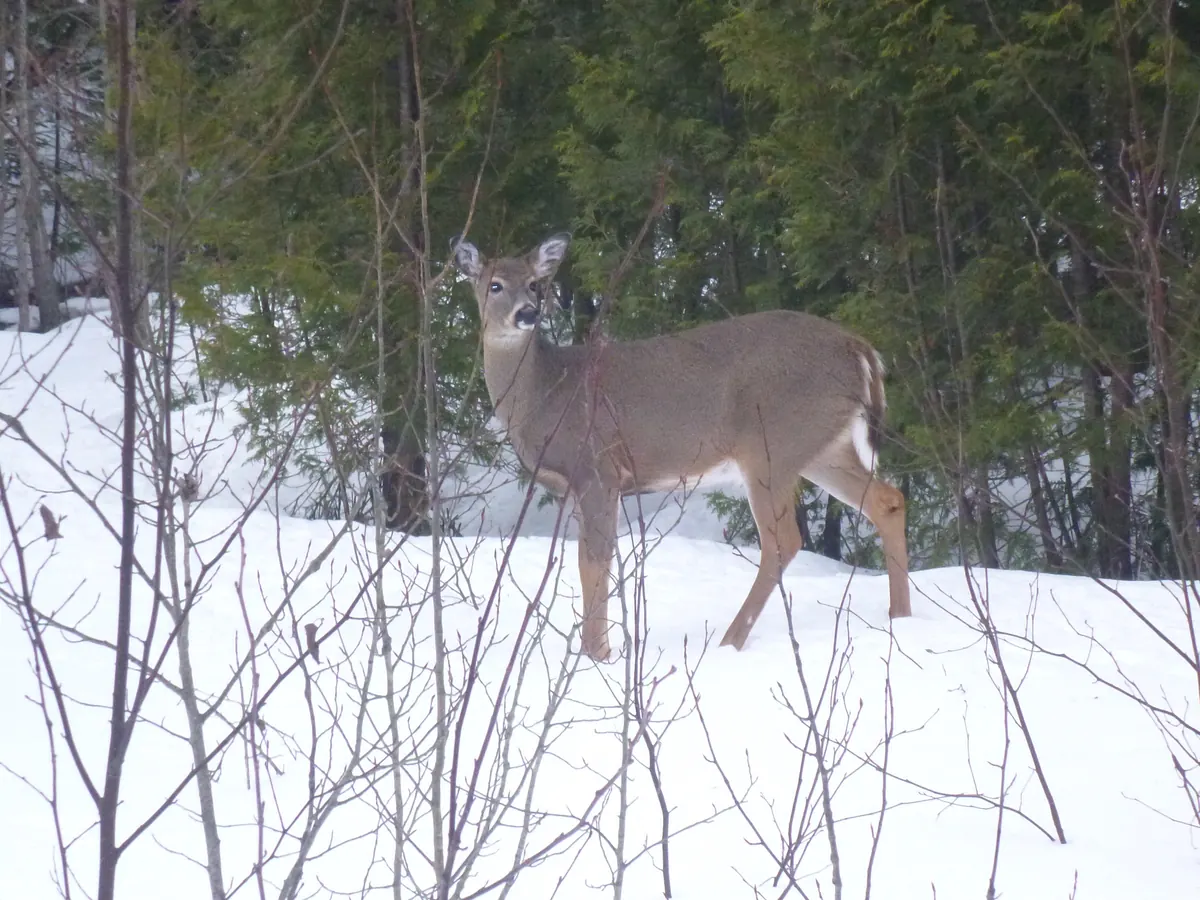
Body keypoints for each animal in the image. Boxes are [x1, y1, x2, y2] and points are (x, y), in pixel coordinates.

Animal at [453, 232, 911, 661]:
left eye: (534, 284)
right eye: (494, 285)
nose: (527, 313)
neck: (546, 391)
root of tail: (860, 349)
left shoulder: (597, 467)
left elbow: (592, 562)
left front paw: (596, 655)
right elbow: (591, 560)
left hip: (770, 446)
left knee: (783, 540)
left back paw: (729, 641)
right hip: (819, 446)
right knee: (887, 500)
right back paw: (900, 616)